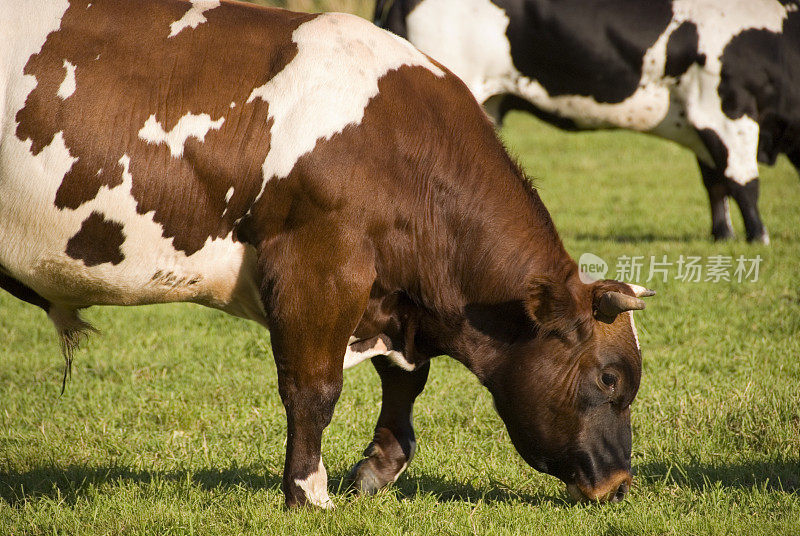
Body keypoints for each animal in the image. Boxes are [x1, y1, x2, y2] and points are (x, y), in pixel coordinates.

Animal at [0, 0, 648, 506]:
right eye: (610, 378)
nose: (619, 484)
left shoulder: (388, 297)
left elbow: (406, 379)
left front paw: (378, 466)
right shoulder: (319, 266)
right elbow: (313, 388)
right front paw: (308, 493)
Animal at [376, 0, 800, 243]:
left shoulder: (702, 123)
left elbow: (714, 182)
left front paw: (723, 236)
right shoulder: (727, 108)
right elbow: (744, 183)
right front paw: (759, 239)